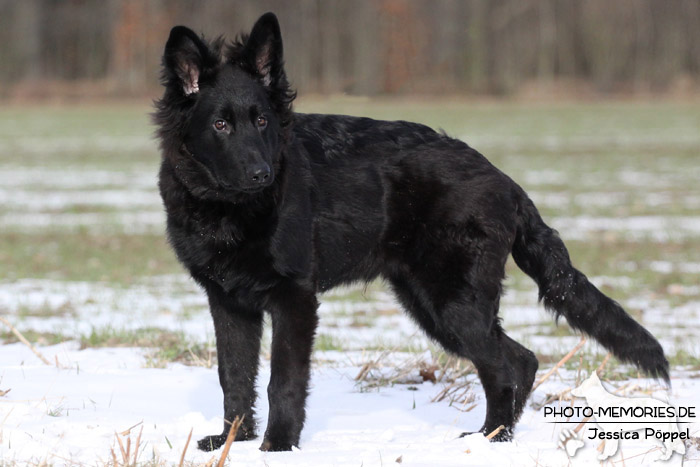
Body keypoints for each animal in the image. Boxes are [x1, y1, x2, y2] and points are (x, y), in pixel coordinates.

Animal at [152, 11, 668, 454]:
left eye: (261, 120)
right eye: (221, 124)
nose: (261, 174)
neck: (231, 211)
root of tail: (505, 181)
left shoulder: (294, 299)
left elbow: (284, 380)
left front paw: (278, 447)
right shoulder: (229, 302)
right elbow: (234, 376)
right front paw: (233, 442)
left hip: (449, 302)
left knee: (509, 365)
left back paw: (490, 441)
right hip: (431, 303)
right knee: (518, 361)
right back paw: (493, 437)